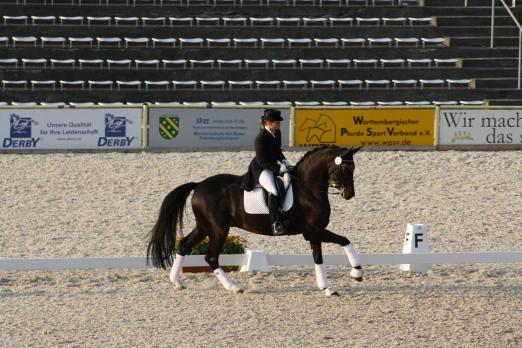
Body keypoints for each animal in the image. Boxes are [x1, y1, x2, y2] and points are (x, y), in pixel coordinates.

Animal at [146, 146, 362, 296]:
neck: (308, 189)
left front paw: (327, 288)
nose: (349, 194)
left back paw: (176, 282)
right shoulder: (312, 230)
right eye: (345, 168)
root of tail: (198, 185)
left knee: (184, 246)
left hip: (204, 227)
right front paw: (357, 273)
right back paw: (233, 288)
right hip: (218, 229)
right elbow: (345, 240)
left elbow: (318, 259)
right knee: (211, 258)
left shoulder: (313, 232)